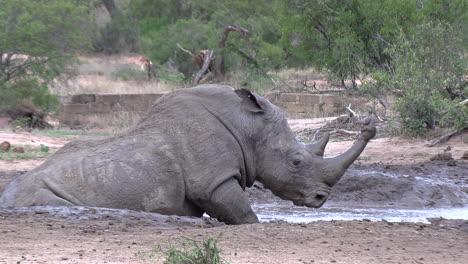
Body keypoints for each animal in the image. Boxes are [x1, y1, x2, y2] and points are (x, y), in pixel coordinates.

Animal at [0, 85, 374, 224]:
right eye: (296, 162)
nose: (321, 198)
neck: (248, 126)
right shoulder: (213, 181)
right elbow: (244, 214)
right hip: (36, 192)